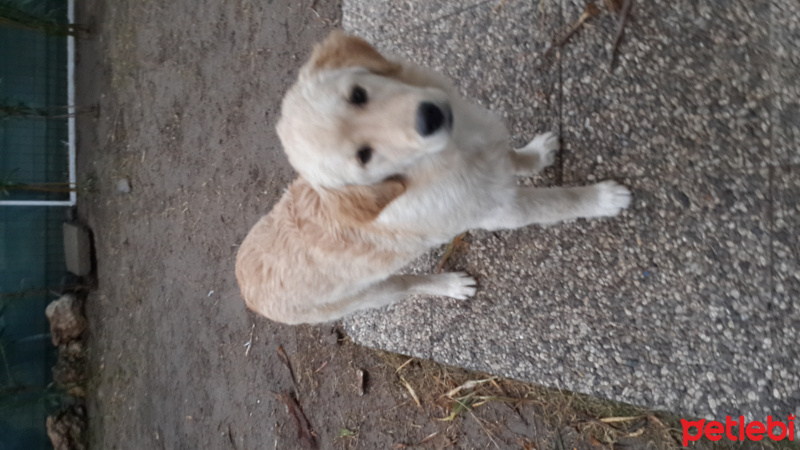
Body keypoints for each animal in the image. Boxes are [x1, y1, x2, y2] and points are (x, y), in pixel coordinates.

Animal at [238, 32, 632, 326]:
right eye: (364, 157)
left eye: (358, 95)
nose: (430, 117)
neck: (440, 160)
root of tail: (244, 285)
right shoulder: (503, 211)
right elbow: (560, 202)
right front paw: (604, 199)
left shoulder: (492, 153)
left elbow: (515, 159)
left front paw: (538, 153)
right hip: (375, 292)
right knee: (410, 285)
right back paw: (450, 285)